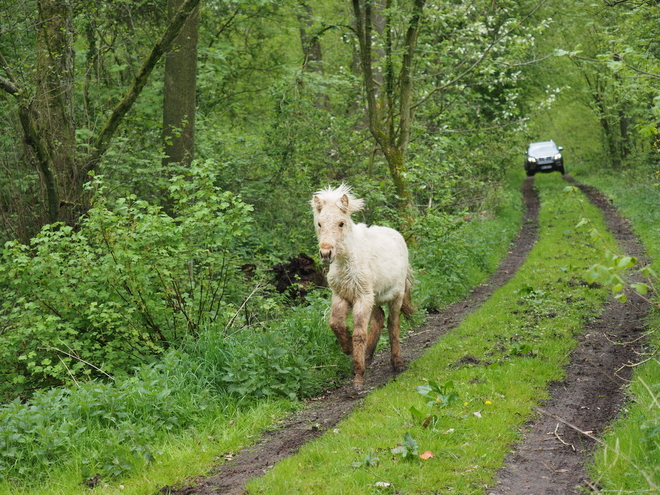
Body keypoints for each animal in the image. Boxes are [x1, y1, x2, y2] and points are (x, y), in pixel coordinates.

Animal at [310, 184, 412, 390]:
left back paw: (397, 363)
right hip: (374, 299)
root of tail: (397, 234)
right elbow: (336, 324)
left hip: (394, 297)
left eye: (341, 223)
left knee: (393, 323)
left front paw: (358, 377)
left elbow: (358, 334)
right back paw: (368, 356)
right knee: (379, 319)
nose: (326, 253)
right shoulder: (341, 296)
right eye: (320, 223)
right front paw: (348, 349)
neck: (348, 262)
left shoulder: (361, 297)